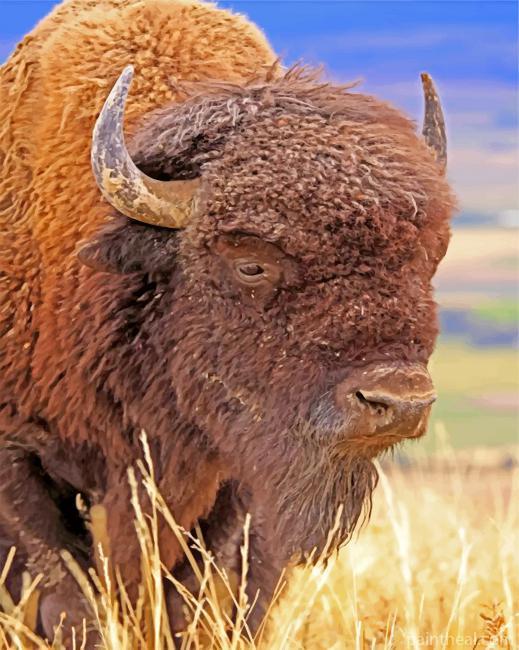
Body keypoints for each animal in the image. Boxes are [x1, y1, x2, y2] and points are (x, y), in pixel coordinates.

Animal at [0, 0, 455, 642]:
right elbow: (66, 589)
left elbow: (201, 595)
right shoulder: (18, 457)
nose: (399, 401)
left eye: (427, 256)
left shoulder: (241, 478)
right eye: (250, 263)